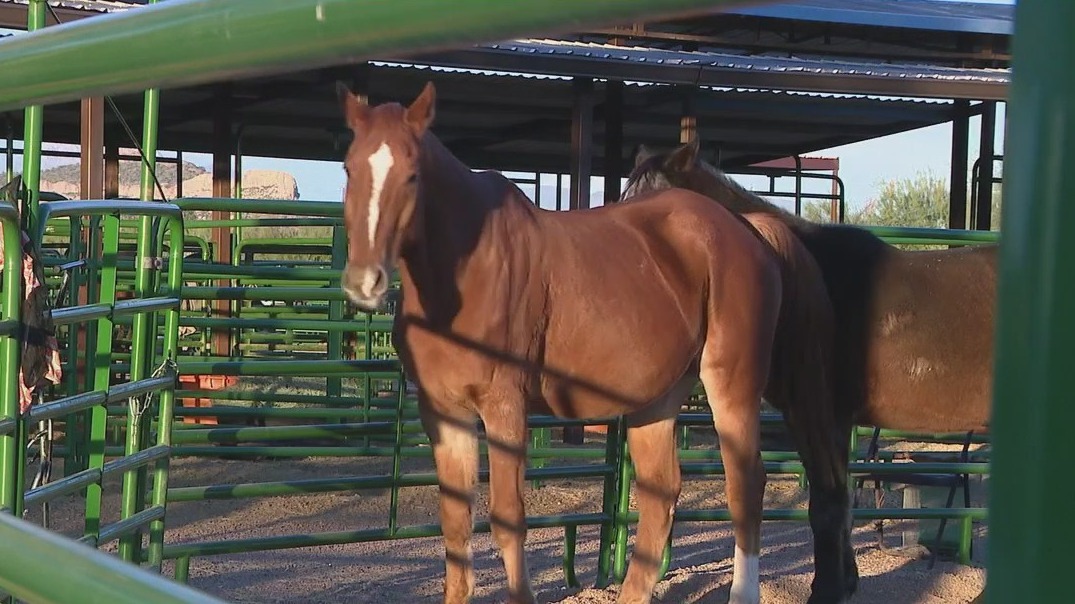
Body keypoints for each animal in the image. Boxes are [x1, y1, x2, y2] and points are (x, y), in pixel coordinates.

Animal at [334, 81, 801, 604]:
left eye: (412, 175)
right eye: (349, 167)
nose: (365, 282)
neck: (466, 273)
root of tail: (747, 231)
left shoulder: (504, 407)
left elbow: (508, 518)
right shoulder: (442, 411)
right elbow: (455, 523)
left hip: (731, 384)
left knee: (746, 486)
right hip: (659, 397)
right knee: (661, 493)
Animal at [622, 139, 996, 603]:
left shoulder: (816, 413)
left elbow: (827, 504)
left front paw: (826, 590)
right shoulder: (827, 419)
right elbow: (841, 503)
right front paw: (844, 582)